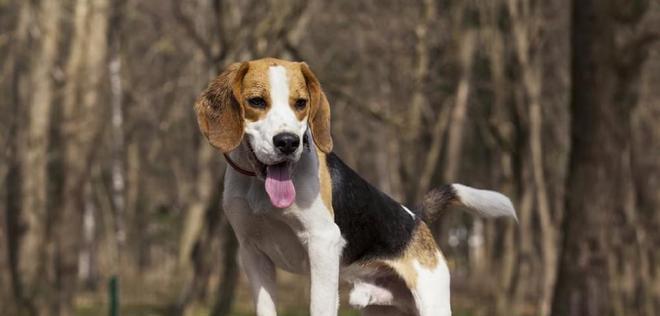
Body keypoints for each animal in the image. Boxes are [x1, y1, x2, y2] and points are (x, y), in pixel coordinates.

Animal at [193, 57, 520, 316]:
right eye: (256, 102)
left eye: (301, 103)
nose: (288, 142)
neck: (258, 186)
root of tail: (415, 216)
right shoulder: (252, 253)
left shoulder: (323, 244)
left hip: (432, 300)